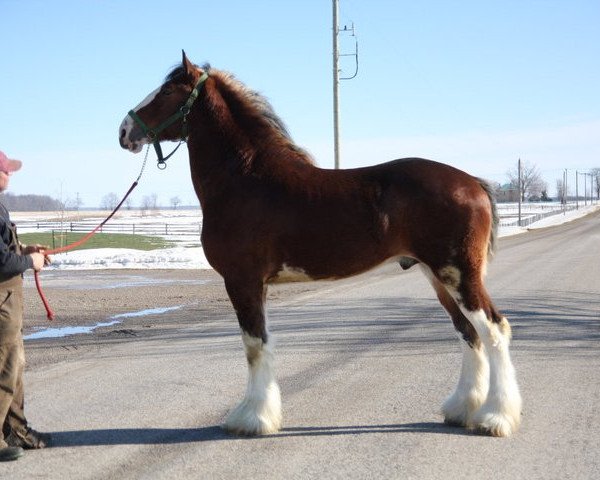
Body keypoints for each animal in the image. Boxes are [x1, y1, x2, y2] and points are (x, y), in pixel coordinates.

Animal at [117, 50, 520, 436]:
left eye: (166, 91)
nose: (123, 130)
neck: (245, 180)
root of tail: (473, 182)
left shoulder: (242, 280)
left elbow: (254, 346)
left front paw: (252, 419)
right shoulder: (258, 284)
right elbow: (262, 344)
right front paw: (261, 414)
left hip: (459, 275)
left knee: (493, 330)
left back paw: (496, 418)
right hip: (438, 277)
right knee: (468, 333)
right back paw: (460, 409)